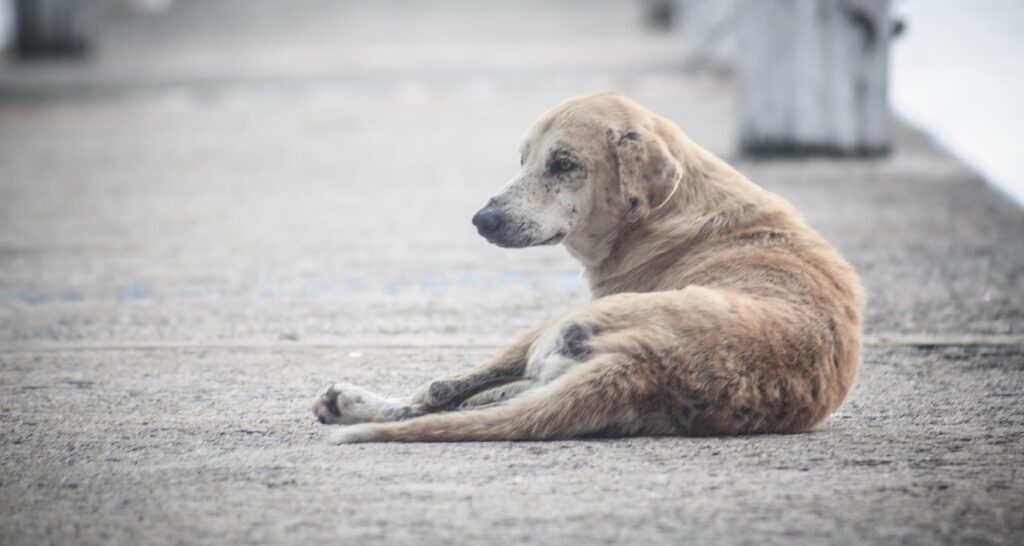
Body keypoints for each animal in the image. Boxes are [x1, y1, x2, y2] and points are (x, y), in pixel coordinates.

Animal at [311, 92, 864, 442]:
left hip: (552, 328)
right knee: (484, 401)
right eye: (523, 160)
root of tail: (642, 366)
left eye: (564, 164)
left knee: (441, 395)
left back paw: (351, 404)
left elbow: (445, 388)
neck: (671, 210)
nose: (481, 220)